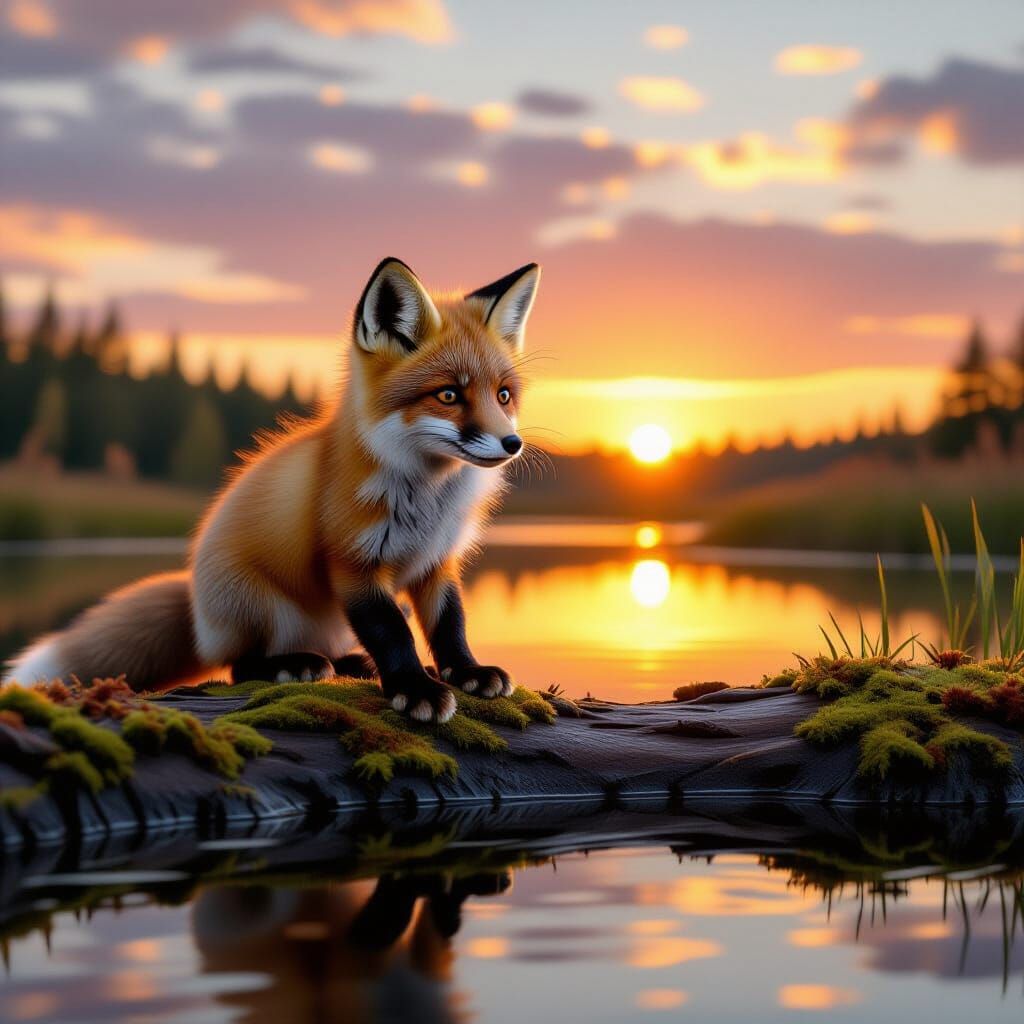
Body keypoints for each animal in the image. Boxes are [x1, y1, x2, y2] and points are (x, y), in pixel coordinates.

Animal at [3, 257, 542, 724]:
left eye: (503, 395)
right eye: (448, 394)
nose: (511, 443)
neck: (428, 499)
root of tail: (195, 603)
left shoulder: (436, 561)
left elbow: (449, 624)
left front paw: (466, 672)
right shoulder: (353, 563)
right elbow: (393, 633)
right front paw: (414, 689)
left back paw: (352, 665)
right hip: (265, 607)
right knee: (238, 665)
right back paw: (295, 665)